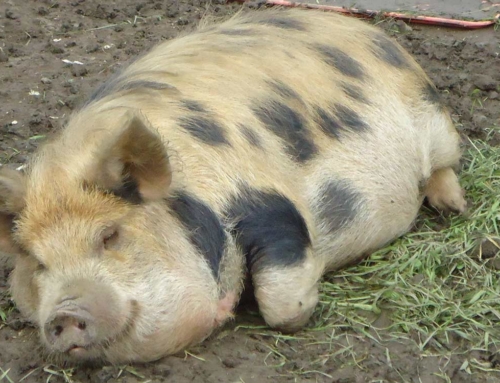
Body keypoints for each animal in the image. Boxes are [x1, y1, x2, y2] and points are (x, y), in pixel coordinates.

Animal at [0, 7, 468, 364]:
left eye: (110, 235)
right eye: (37, 262)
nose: (64, 313)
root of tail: (367, 29)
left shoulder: (270, 205)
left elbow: (282, 303)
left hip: (436, 120)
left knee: (444, 164)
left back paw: (453, 206)